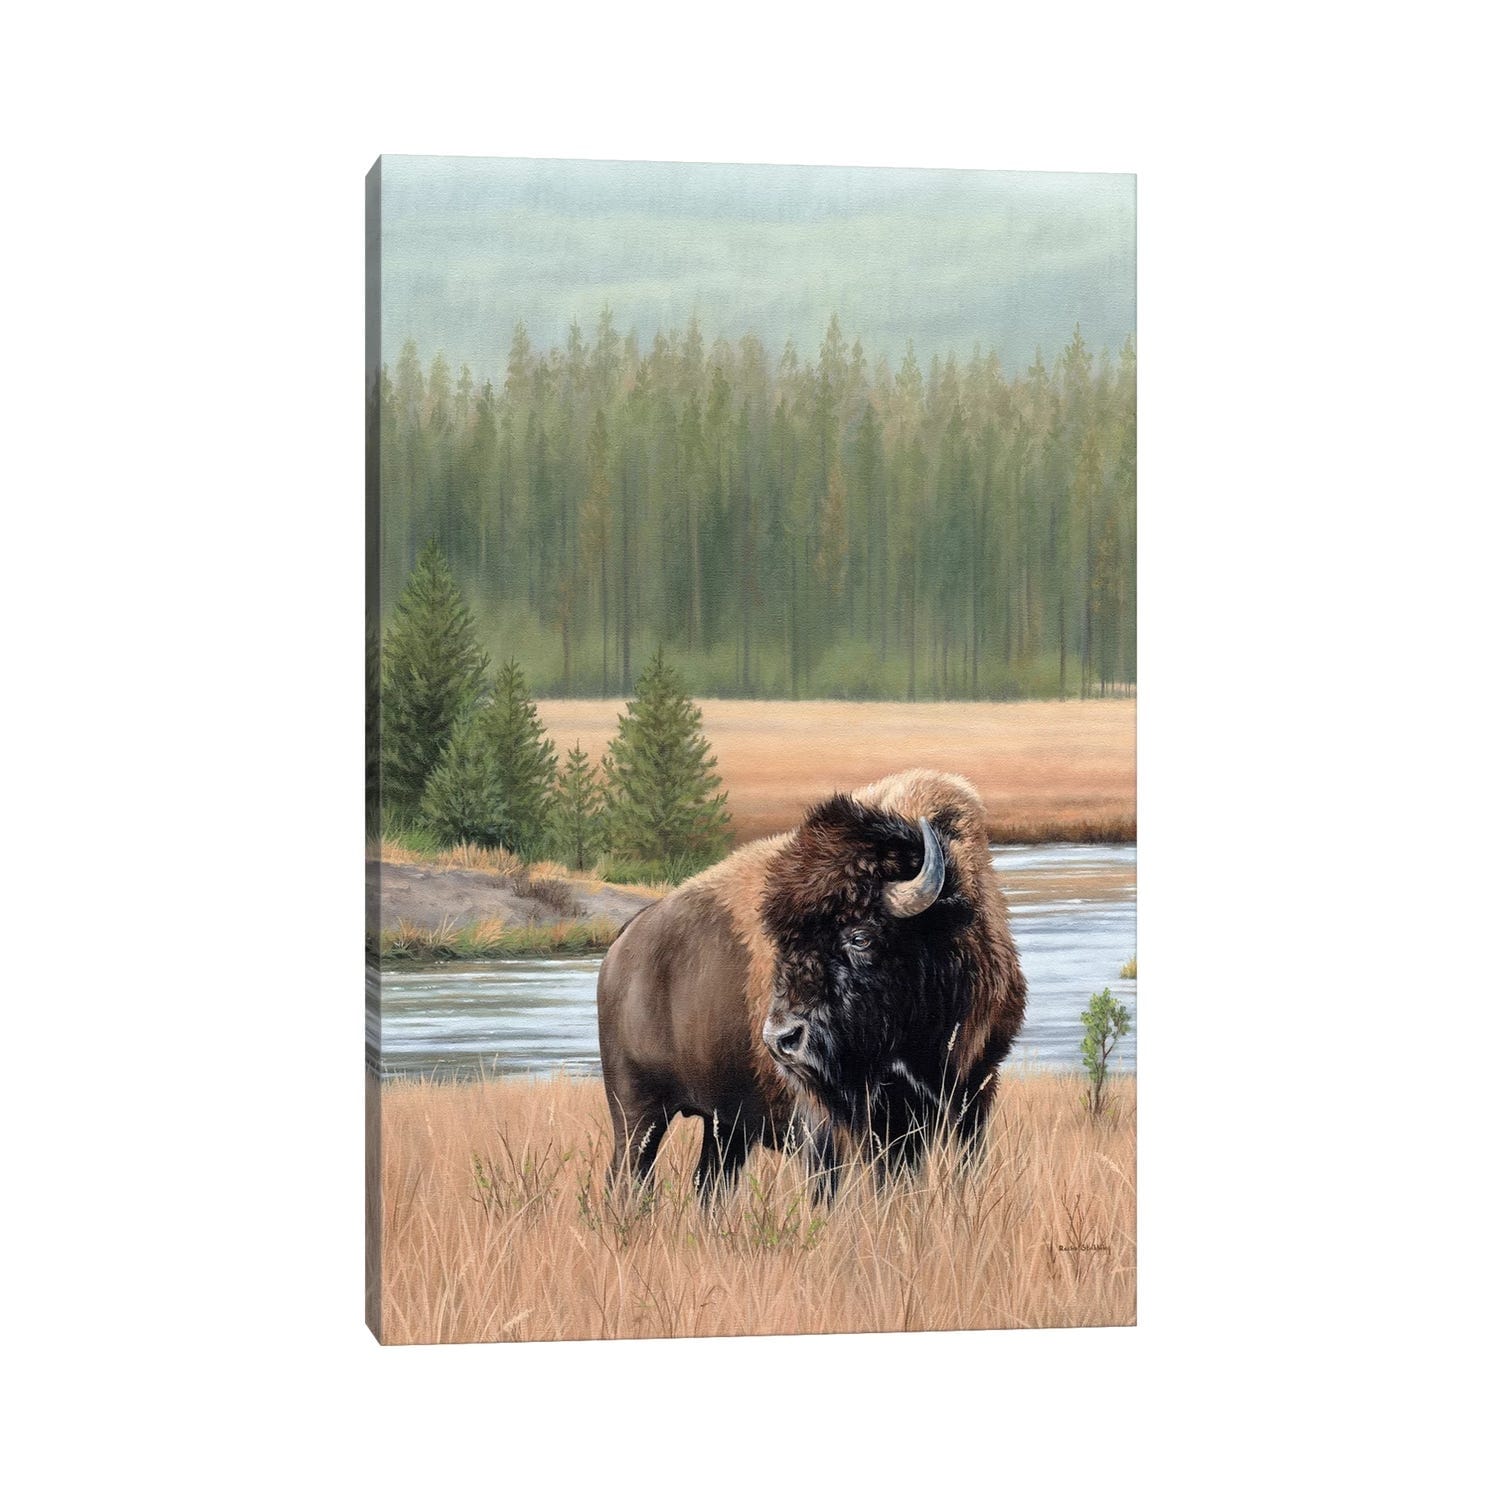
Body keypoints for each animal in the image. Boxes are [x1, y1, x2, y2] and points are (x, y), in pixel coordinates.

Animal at [595, 769, 1027, 1200]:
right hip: (637, 1110)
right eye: (780, 943)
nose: (781, 1040)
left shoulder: (971, 1094)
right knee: (629, 1175)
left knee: (710, 1183)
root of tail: (621, 945)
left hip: (725, 1127)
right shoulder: (826, 1120)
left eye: (860, 936)